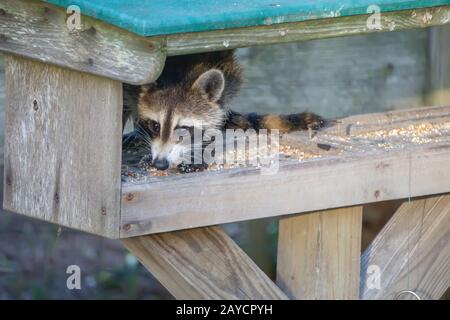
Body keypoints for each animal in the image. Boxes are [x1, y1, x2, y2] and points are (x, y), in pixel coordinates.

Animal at [127, 49, 326, 170]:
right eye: (155, 126)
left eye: (183, 129)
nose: (160, 163)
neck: (178, 75)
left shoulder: (224, 65)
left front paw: (203, 148)